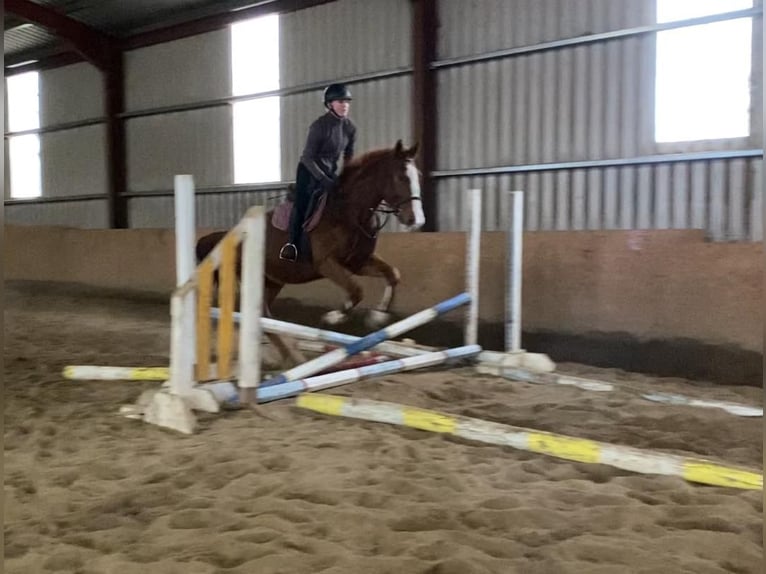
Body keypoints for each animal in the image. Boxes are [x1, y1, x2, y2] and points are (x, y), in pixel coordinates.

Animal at [195, 142, 426, 366]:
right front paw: (333, 318)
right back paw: (291, 356)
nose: (416, 220)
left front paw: (377, 317)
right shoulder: (326, 264)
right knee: (260, 314)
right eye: (401, 177)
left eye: (418, 176)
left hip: (273, 281)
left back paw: (291, 356)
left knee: (265, 316)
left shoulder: (358, 262)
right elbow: (356, 290)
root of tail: (227, 236)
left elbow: (392, 275)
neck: (348, 212)